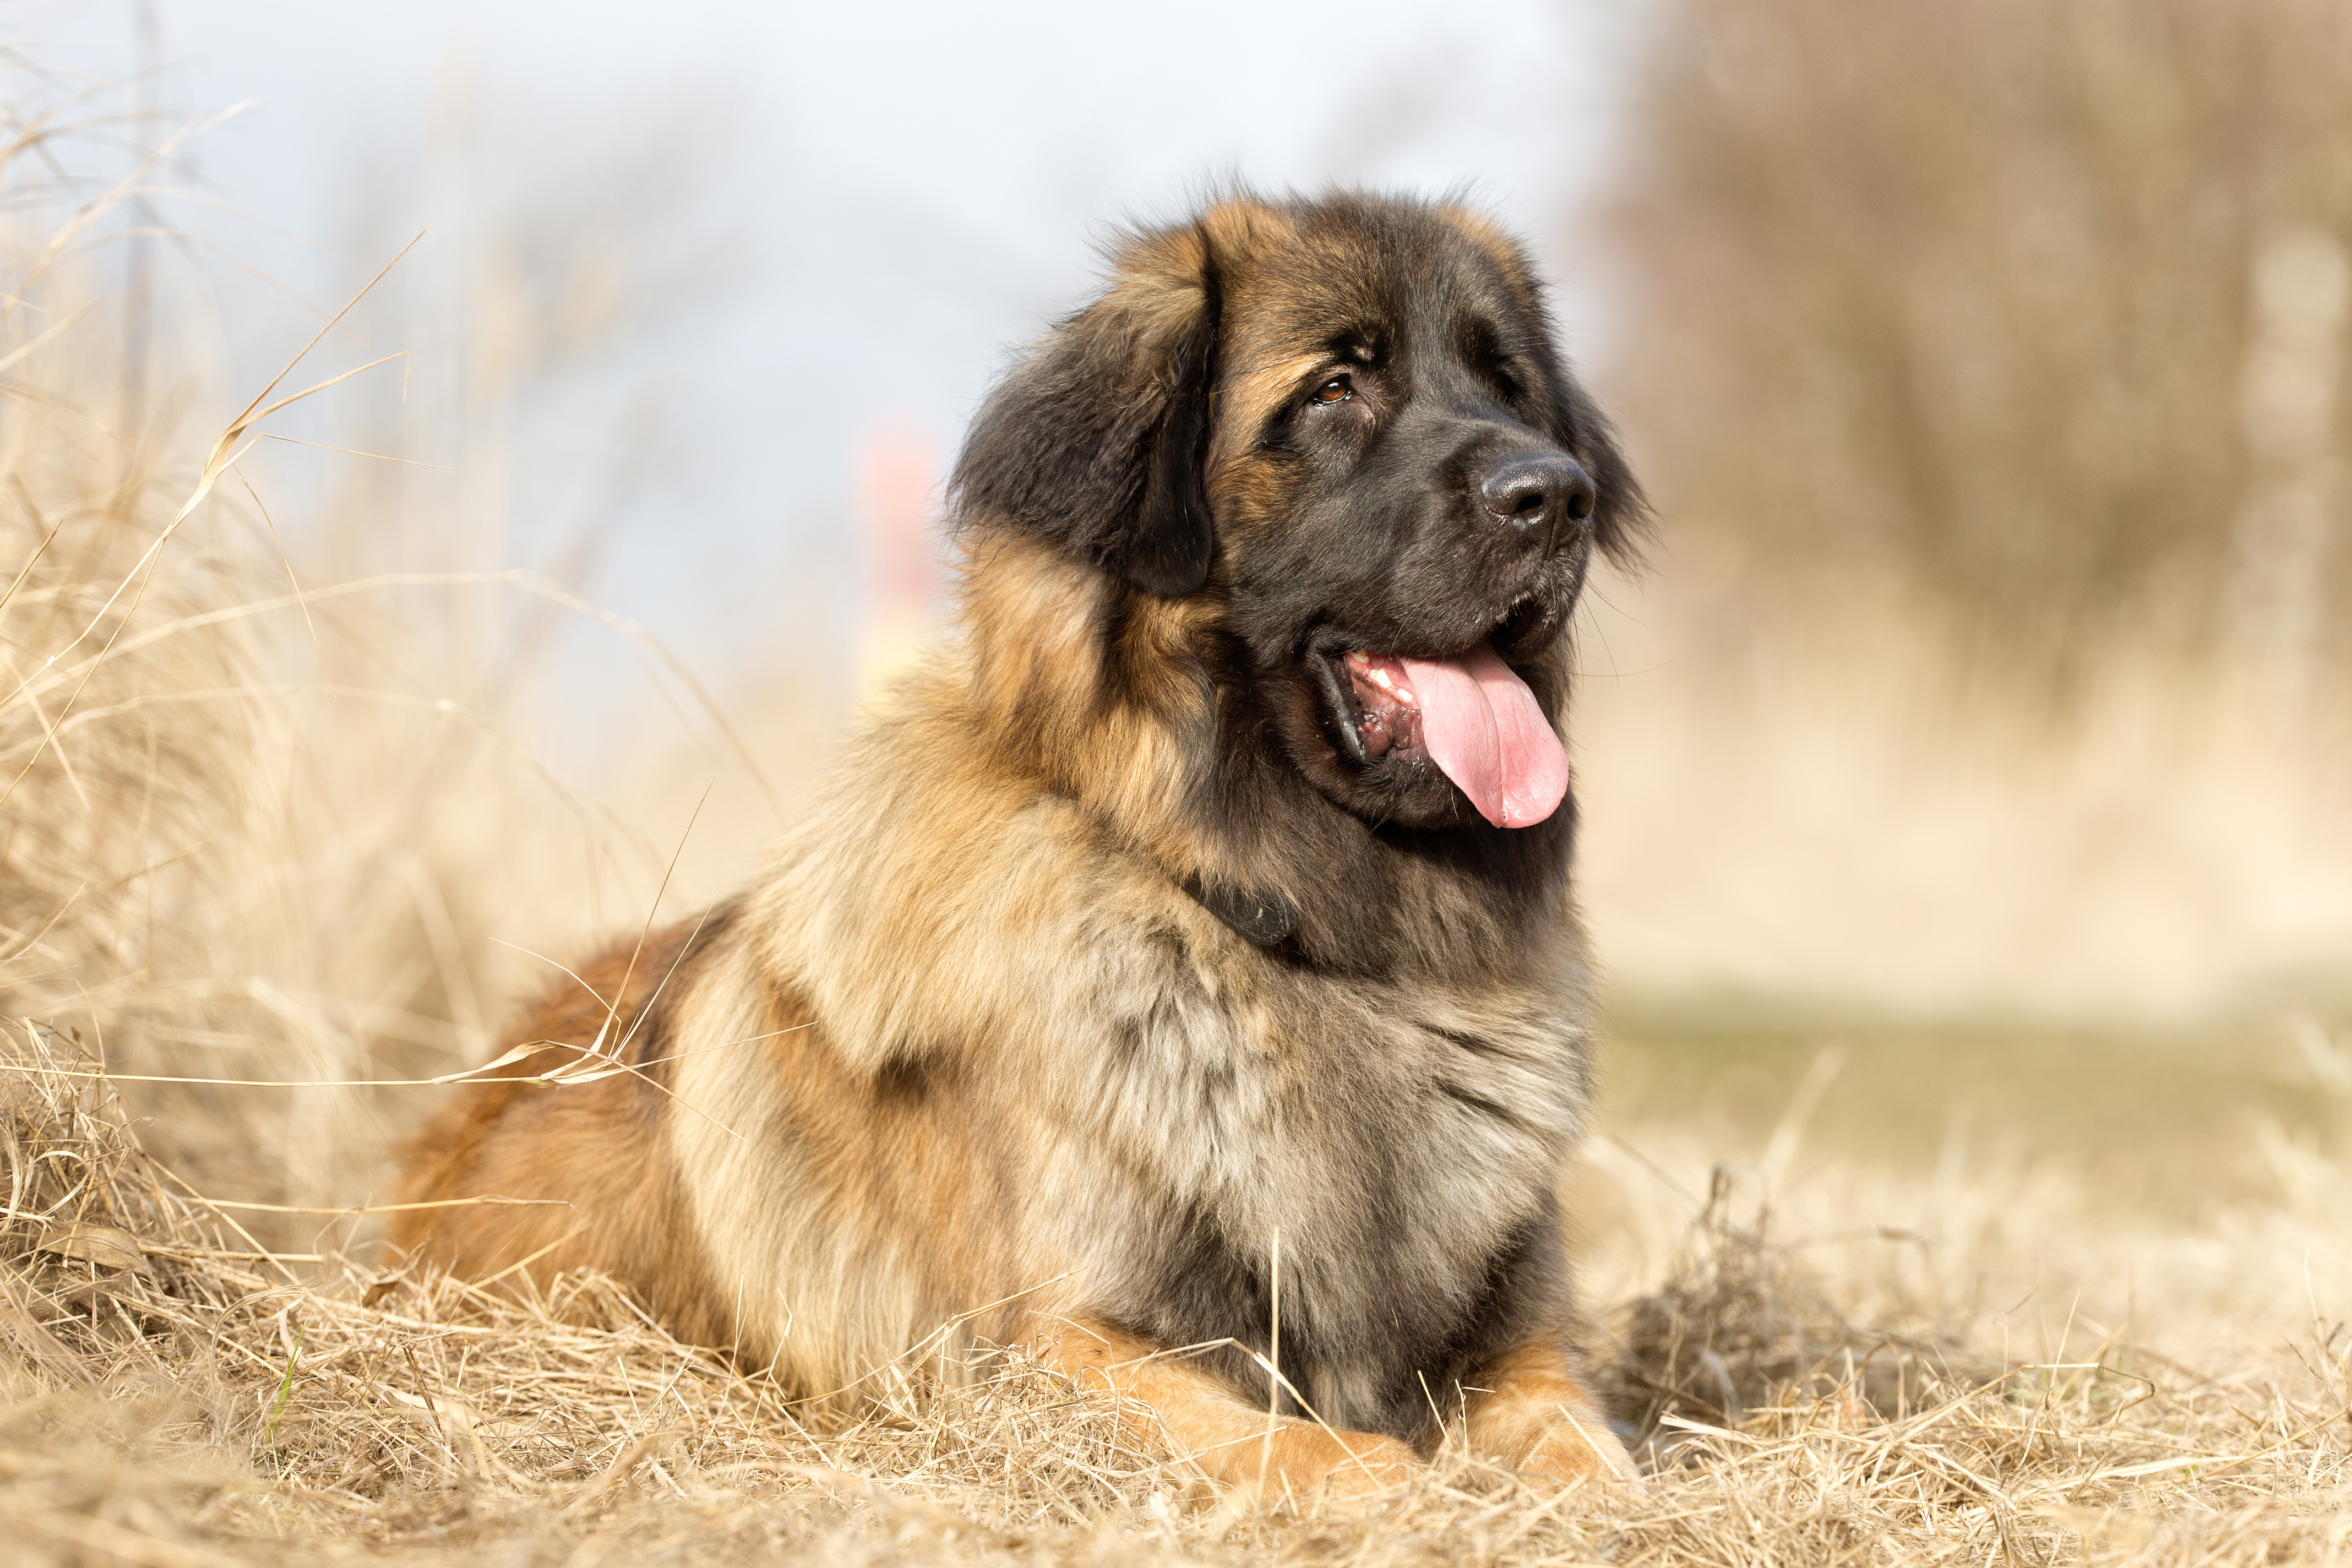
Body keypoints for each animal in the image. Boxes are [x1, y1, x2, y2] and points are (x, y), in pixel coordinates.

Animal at [395, 187, 1646, 1495]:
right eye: (1334, 391)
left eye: (1508, 387)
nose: (1556, 496)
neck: (1300, 932)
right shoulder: (1052, 1348)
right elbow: (1322, 1448)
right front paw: (1399, 1483)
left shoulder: (1524, 1343)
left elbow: (1583, 1440)